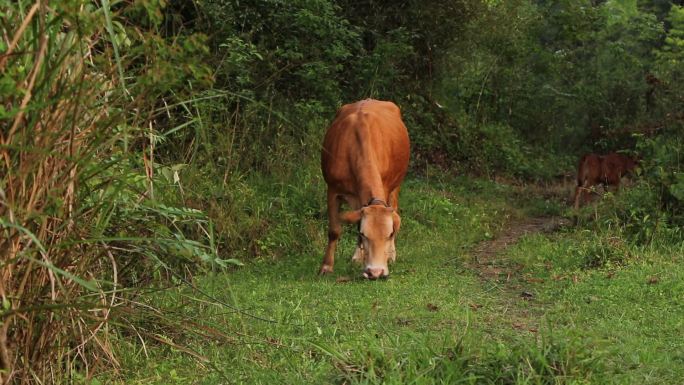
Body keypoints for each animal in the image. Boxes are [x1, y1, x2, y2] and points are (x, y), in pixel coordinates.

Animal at [320, 98, 408, 280]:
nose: (375, 272)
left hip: (397, 184)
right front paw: (326, 266)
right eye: (364, 234)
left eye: (389, 234)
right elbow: (334, 231)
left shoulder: (385, 187)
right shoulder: (332, 190)